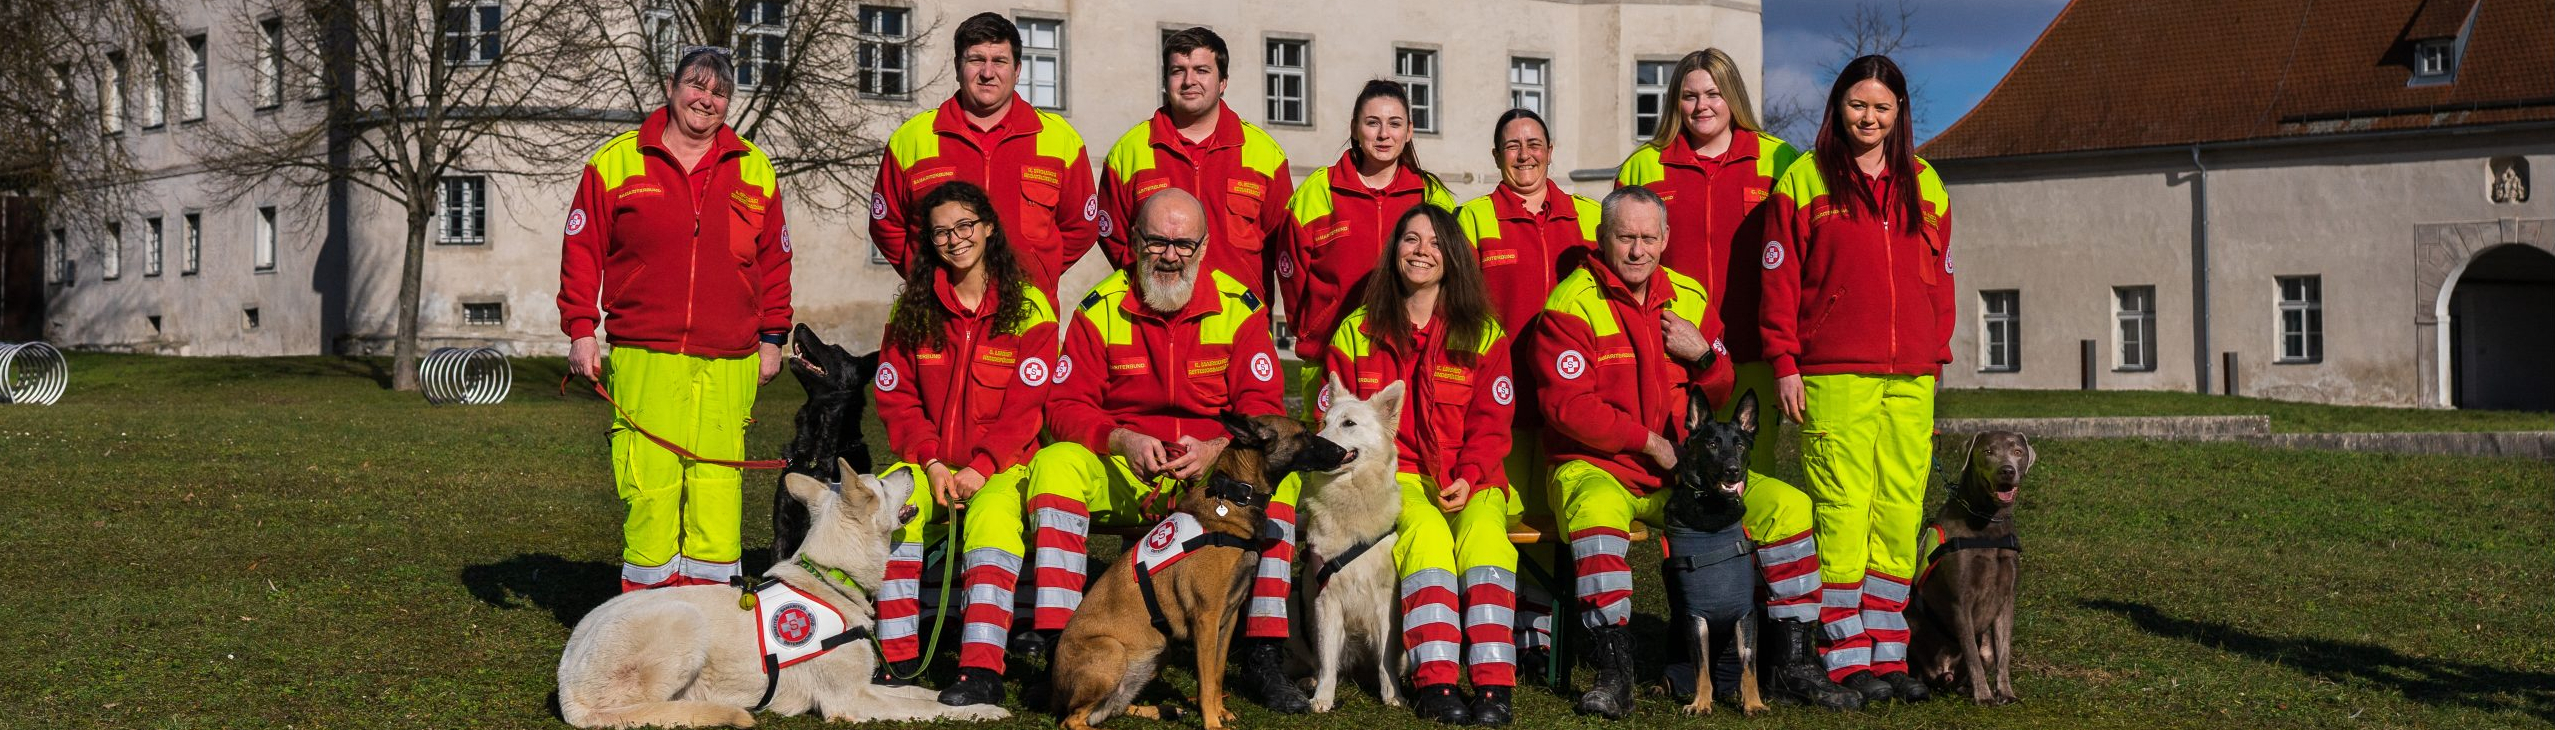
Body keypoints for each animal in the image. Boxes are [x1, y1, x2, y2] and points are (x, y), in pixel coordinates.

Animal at [551, 464, 1006, 724]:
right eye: (880, 482)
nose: (912, 469)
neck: (832, 577)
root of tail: (565, 679)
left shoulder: (867, 686)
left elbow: (924, 694)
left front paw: (965, 702)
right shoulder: (851, 700)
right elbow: (928, 708)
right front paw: (985, 711)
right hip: (684, 622)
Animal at [1047, 413, 1359, 724]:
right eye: (1303, 434)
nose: (1343, 452)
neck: (1232, 499)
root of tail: (1056, 692)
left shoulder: (1228, 619)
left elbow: (1217, 675)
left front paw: (1221, 712)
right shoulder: (1206, 619)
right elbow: (1206, 682)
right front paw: (1212, 721)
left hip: (1159, 651)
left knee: (1112, 708)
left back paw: (1163, 709)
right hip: (1113, 650)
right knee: (1073, 720)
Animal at [1297, 375, 1420, 714]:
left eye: (1348, 423)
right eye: (1323, 423)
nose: (1314, 445)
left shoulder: (1385, 604)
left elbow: (1385, 661)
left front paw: (1392, 694)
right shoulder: (1326, 601)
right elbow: (1327, 660)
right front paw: (1323, 697)